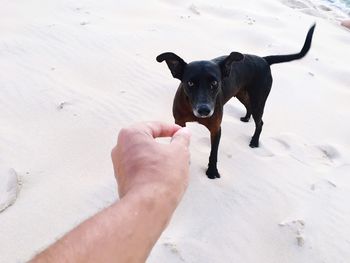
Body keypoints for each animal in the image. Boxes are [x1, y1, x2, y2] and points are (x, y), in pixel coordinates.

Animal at [156, 24, 314, 179]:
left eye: (215, 83)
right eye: (190, 83)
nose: (204, 110)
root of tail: (263, 60)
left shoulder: (216, 129)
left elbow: (214, 153)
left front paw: (212, 171)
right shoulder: (179, 122)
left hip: (258, 100)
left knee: (260, 122)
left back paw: (254, 141)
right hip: (242, 94)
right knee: (249, 108)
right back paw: (246, 118)